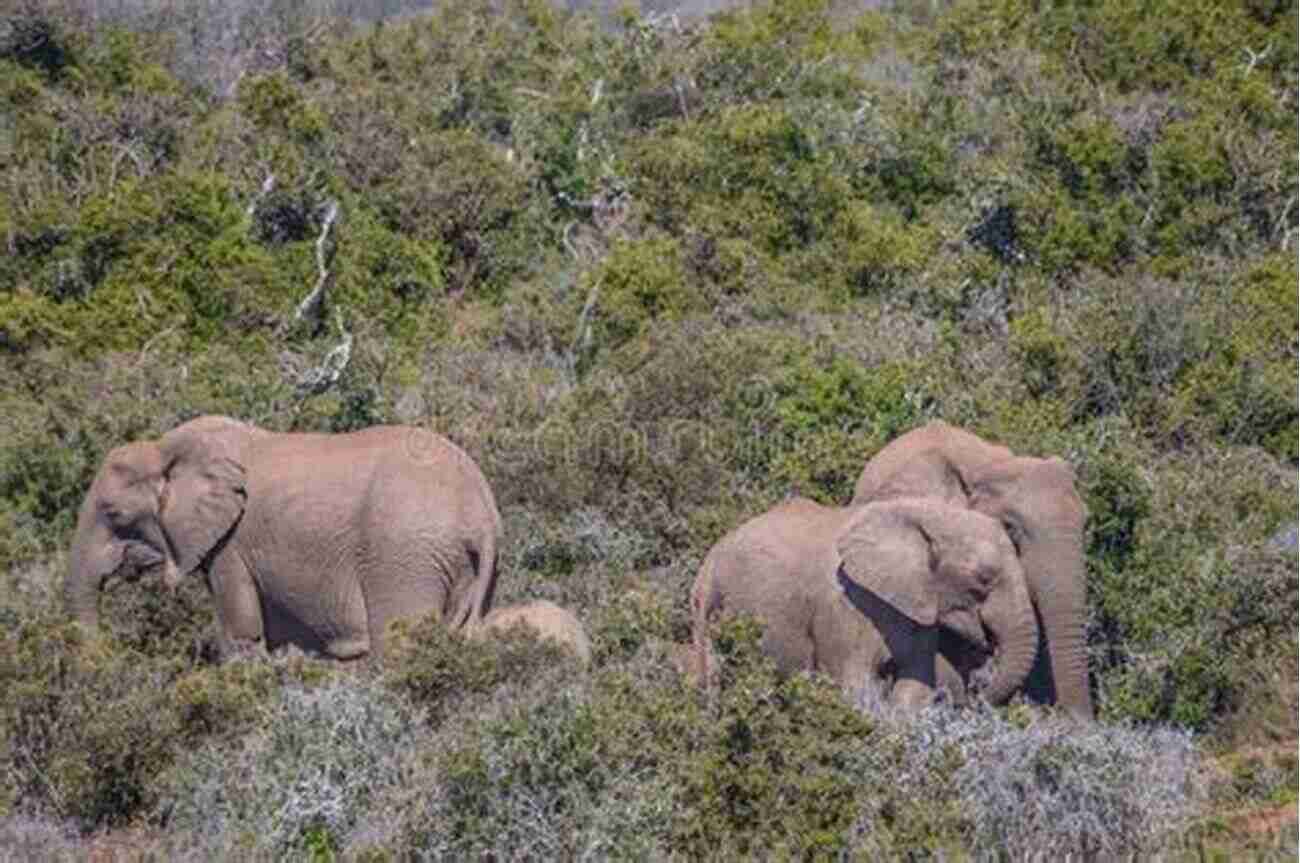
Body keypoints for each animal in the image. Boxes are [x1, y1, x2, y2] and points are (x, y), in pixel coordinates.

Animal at [64, 413, 501, 660]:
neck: (163, 447)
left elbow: (241, 630)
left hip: (404, 555)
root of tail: (479, 510)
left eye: (113, 513)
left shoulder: (231, 545)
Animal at [691, 496, 1034, 712]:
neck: (924, 513)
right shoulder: (845, 599)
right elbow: (857, 686)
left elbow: (915, 684)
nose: (975, 696)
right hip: (709, 602)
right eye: (983, 579)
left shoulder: (918, 604)